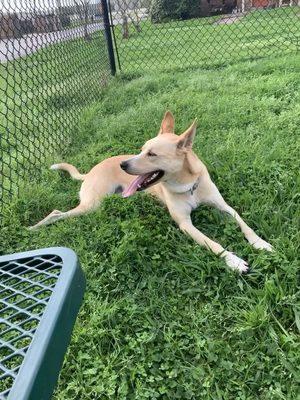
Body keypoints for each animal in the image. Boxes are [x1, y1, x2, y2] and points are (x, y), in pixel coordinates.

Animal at [29, 111, 272, 272]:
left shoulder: (224, 206)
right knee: (57, 213)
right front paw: (233, 261)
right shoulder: (185, 224)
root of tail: (90, 171)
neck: (188, 185)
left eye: (152, 154)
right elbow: (212, 243)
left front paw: (260, 243)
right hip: (91, 205)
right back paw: (34, 227)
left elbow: (244, 223)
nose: (123, 165)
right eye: (141, 149)